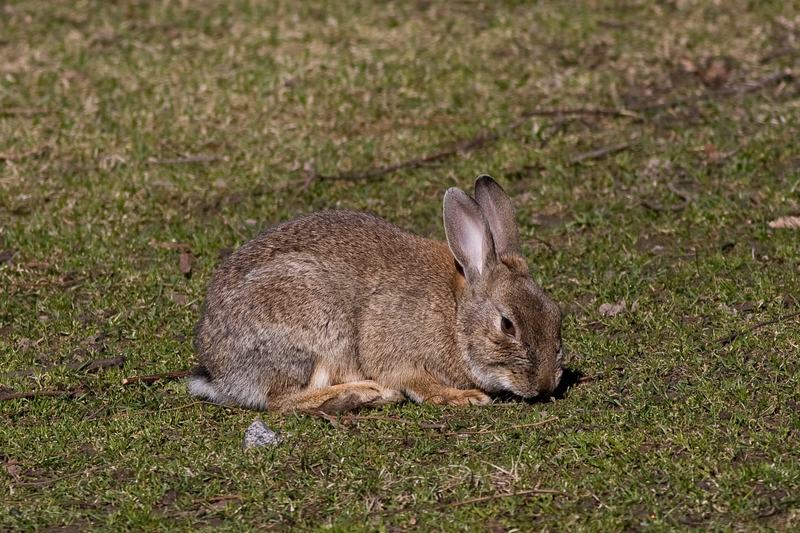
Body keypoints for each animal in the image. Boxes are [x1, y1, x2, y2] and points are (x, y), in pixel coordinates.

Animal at [188, 175, 563, 413]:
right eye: (507, 325)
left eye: (555, 313)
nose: (545, 386)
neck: (455, 315)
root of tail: (221, 374)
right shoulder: (392, 345)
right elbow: (414, 380)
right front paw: (464, 397)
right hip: (317, 329)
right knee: (279, 401)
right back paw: (365, 393)